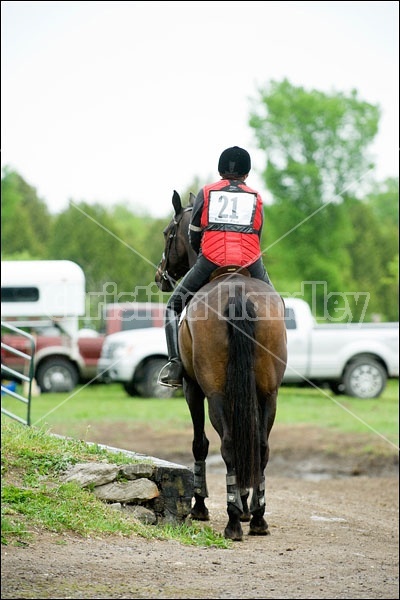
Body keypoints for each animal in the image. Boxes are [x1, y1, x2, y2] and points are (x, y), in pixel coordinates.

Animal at [154, 190, 288, 540]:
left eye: (167, 233)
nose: (160, 275)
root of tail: (237, 292)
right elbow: (249, 441)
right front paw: (245, 503)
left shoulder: (193, 389)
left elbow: (200, 444)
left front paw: (201, 505)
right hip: (268, 392)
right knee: (260, 446)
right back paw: (257, 518)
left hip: (213, 392)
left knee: (226, 444)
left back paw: (231, 521)